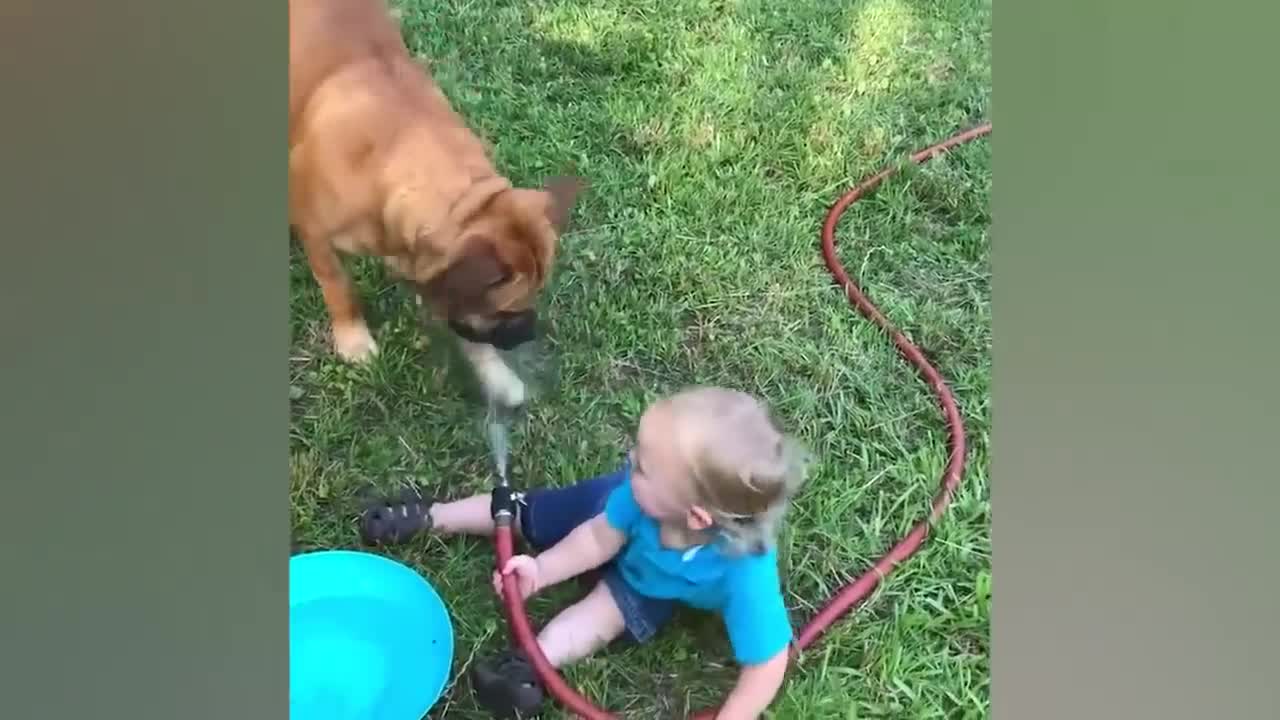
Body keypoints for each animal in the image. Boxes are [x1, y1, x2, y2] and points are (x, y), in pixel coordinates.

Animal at [289, 0, 581, 404]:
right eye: (504, 312)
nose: (528, 334)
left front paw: (497, 375)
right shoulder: (318, 237)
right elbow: (339, 288)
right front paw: (353, 339)